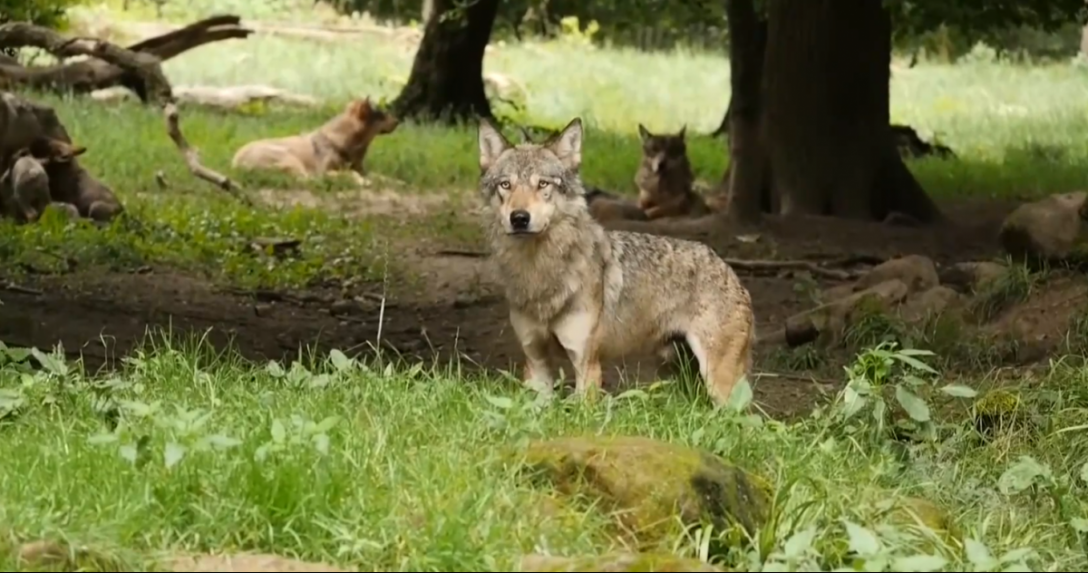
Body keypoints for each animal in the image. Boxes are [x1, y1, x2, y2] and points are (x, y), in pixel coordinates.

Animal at [232, 96, 400, 181]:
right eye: (381, 115)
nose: (398, 120)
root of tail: (236, 164)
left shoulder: (363, 170)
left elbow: (384, 177)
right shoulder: (326, 171)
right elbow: (352, 175)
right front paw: (362, 181)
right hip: (291, 158)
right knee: (305, 179)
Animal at [478, 115, 757, 404]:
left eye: (543, 184)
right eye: (505, 185)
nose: (519, 218)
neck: (540, 271)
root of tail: (728, 268)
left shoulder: (586, 364)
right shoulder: (536, 363)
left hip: (719, 384)